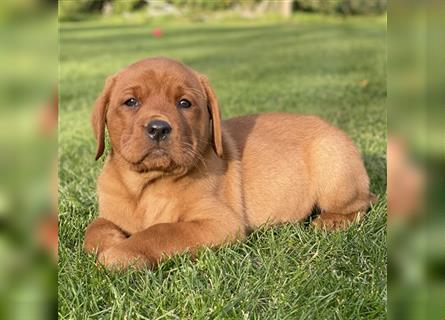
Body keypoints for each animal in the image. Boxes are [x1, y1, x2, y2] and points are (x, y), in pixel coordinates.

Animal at [83, 57, 374, 268]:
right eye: (131, 102)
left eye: (184, 103)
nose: (158, 128)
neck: (147, 185)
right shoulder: (110, 212)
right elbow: (93, 229)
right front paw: (109, 241)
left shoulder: (218, 223)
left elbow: (162, 232)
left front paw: (120, 253)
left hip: (334, 168)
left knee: (365, 202)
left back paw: (332, 221)